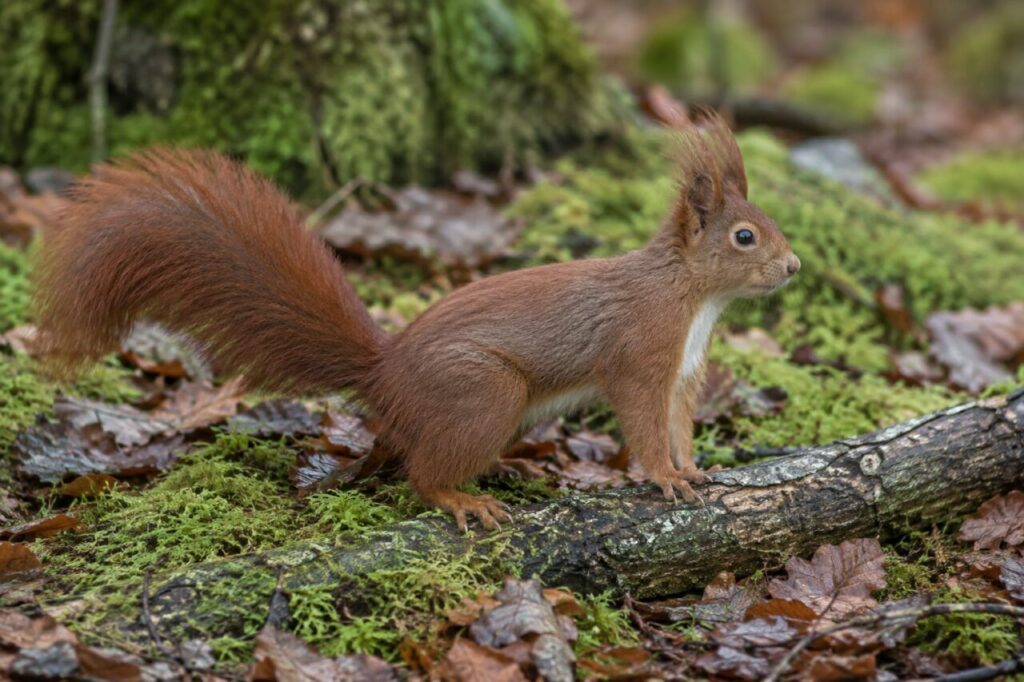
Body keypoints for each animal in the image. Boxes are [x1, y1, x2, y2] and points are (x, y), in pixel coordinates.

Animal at [33, 113, 799, 530]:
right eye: (744, 237)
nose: (793, 267)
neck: (692, 298)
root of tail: (384, 374)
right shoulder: (639, 353)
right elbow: (641, 421)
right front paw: (664, 478)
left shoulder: (684, 370)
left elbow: (678, 421)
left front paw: (694, 468)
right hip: (483, 393)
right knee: (419, 474)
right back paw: (463, 498)